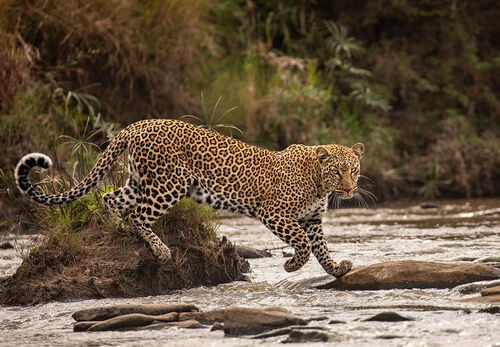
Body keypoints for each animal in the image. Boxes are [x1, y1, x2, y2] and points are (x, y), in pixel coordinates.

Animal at [14, 119, 364, 278]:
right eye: (337, 171)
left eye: (354, 170)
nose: (349, 189)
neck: (320, 183)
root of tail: (138, 124)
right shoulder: (275, 213)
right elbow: (304, 244)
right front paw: (292, 265)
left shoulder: (312, 218)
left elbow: (320, 247)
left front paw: (336, 268)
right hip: (168, 185)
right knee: (138, 215)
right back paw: (160, 250)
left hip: (139, 182)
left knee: (110, 199)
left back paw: (114, 232)